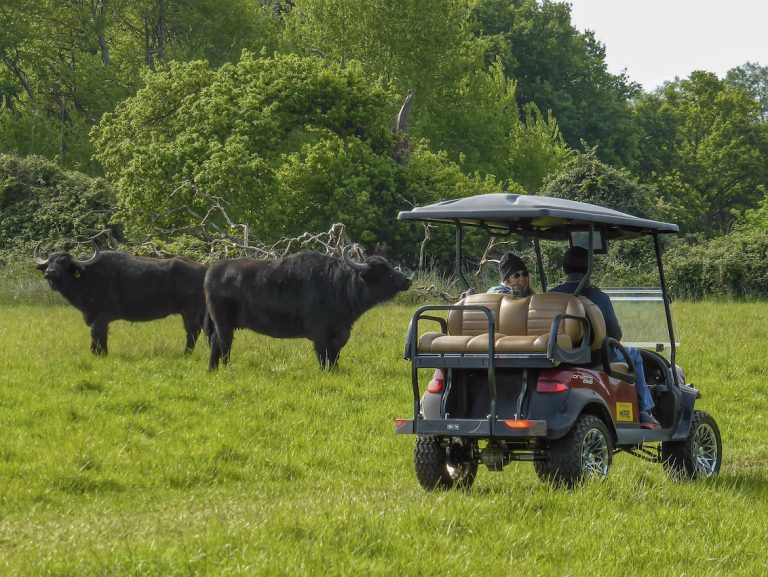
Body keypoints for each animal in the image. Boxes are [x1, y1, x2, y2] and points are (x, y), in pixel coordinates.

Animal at [35, 245, 207, 355]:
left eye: (63, 262)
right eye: (50, 261)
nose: (49, 272)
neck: (88, 276)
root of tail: (205, 270)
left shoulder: (103, 316)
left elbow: (97, 333)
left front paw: (99, 353)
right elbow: (100, 335)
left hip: (191, 312)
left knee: (192, 332)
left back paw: (186, 353)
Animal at [204, 245, 412, 369]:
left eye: (389, 265)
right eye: (384, 270)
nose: (407, 280)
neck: (337, 285)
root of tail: (211, 270)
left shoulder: (340, 332)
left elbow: (335, 355)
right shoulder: (320, 334)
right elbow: (323, 355)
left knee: (215, 342)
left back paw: (212, 369)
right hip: (224, 324)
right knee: (224, 344)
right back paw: (226, 367)